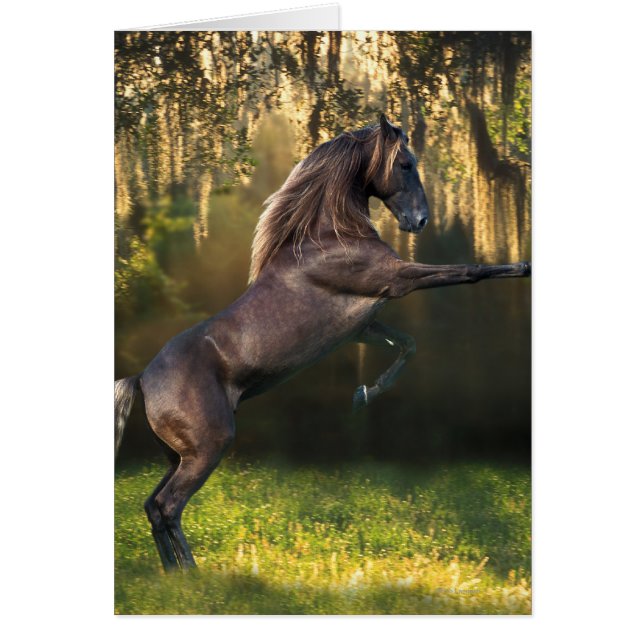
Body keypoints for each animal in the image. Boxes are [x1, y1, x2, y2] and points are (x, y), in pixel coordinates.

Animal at [114, 115, 531, 571]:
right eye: (405, 164)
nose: (420, 221)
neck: (329, 237)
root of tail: (142, 378)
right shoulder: (398, 280)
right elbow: (471, 271)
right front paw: (524, 265)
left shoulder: (364, 325)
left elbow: (407, 345)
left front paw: (363, 395)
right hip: (207, 448)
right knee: (169, 506)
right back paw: (192, 574)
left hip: (177, 456)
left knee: (153, 507)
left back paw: (174, 574)